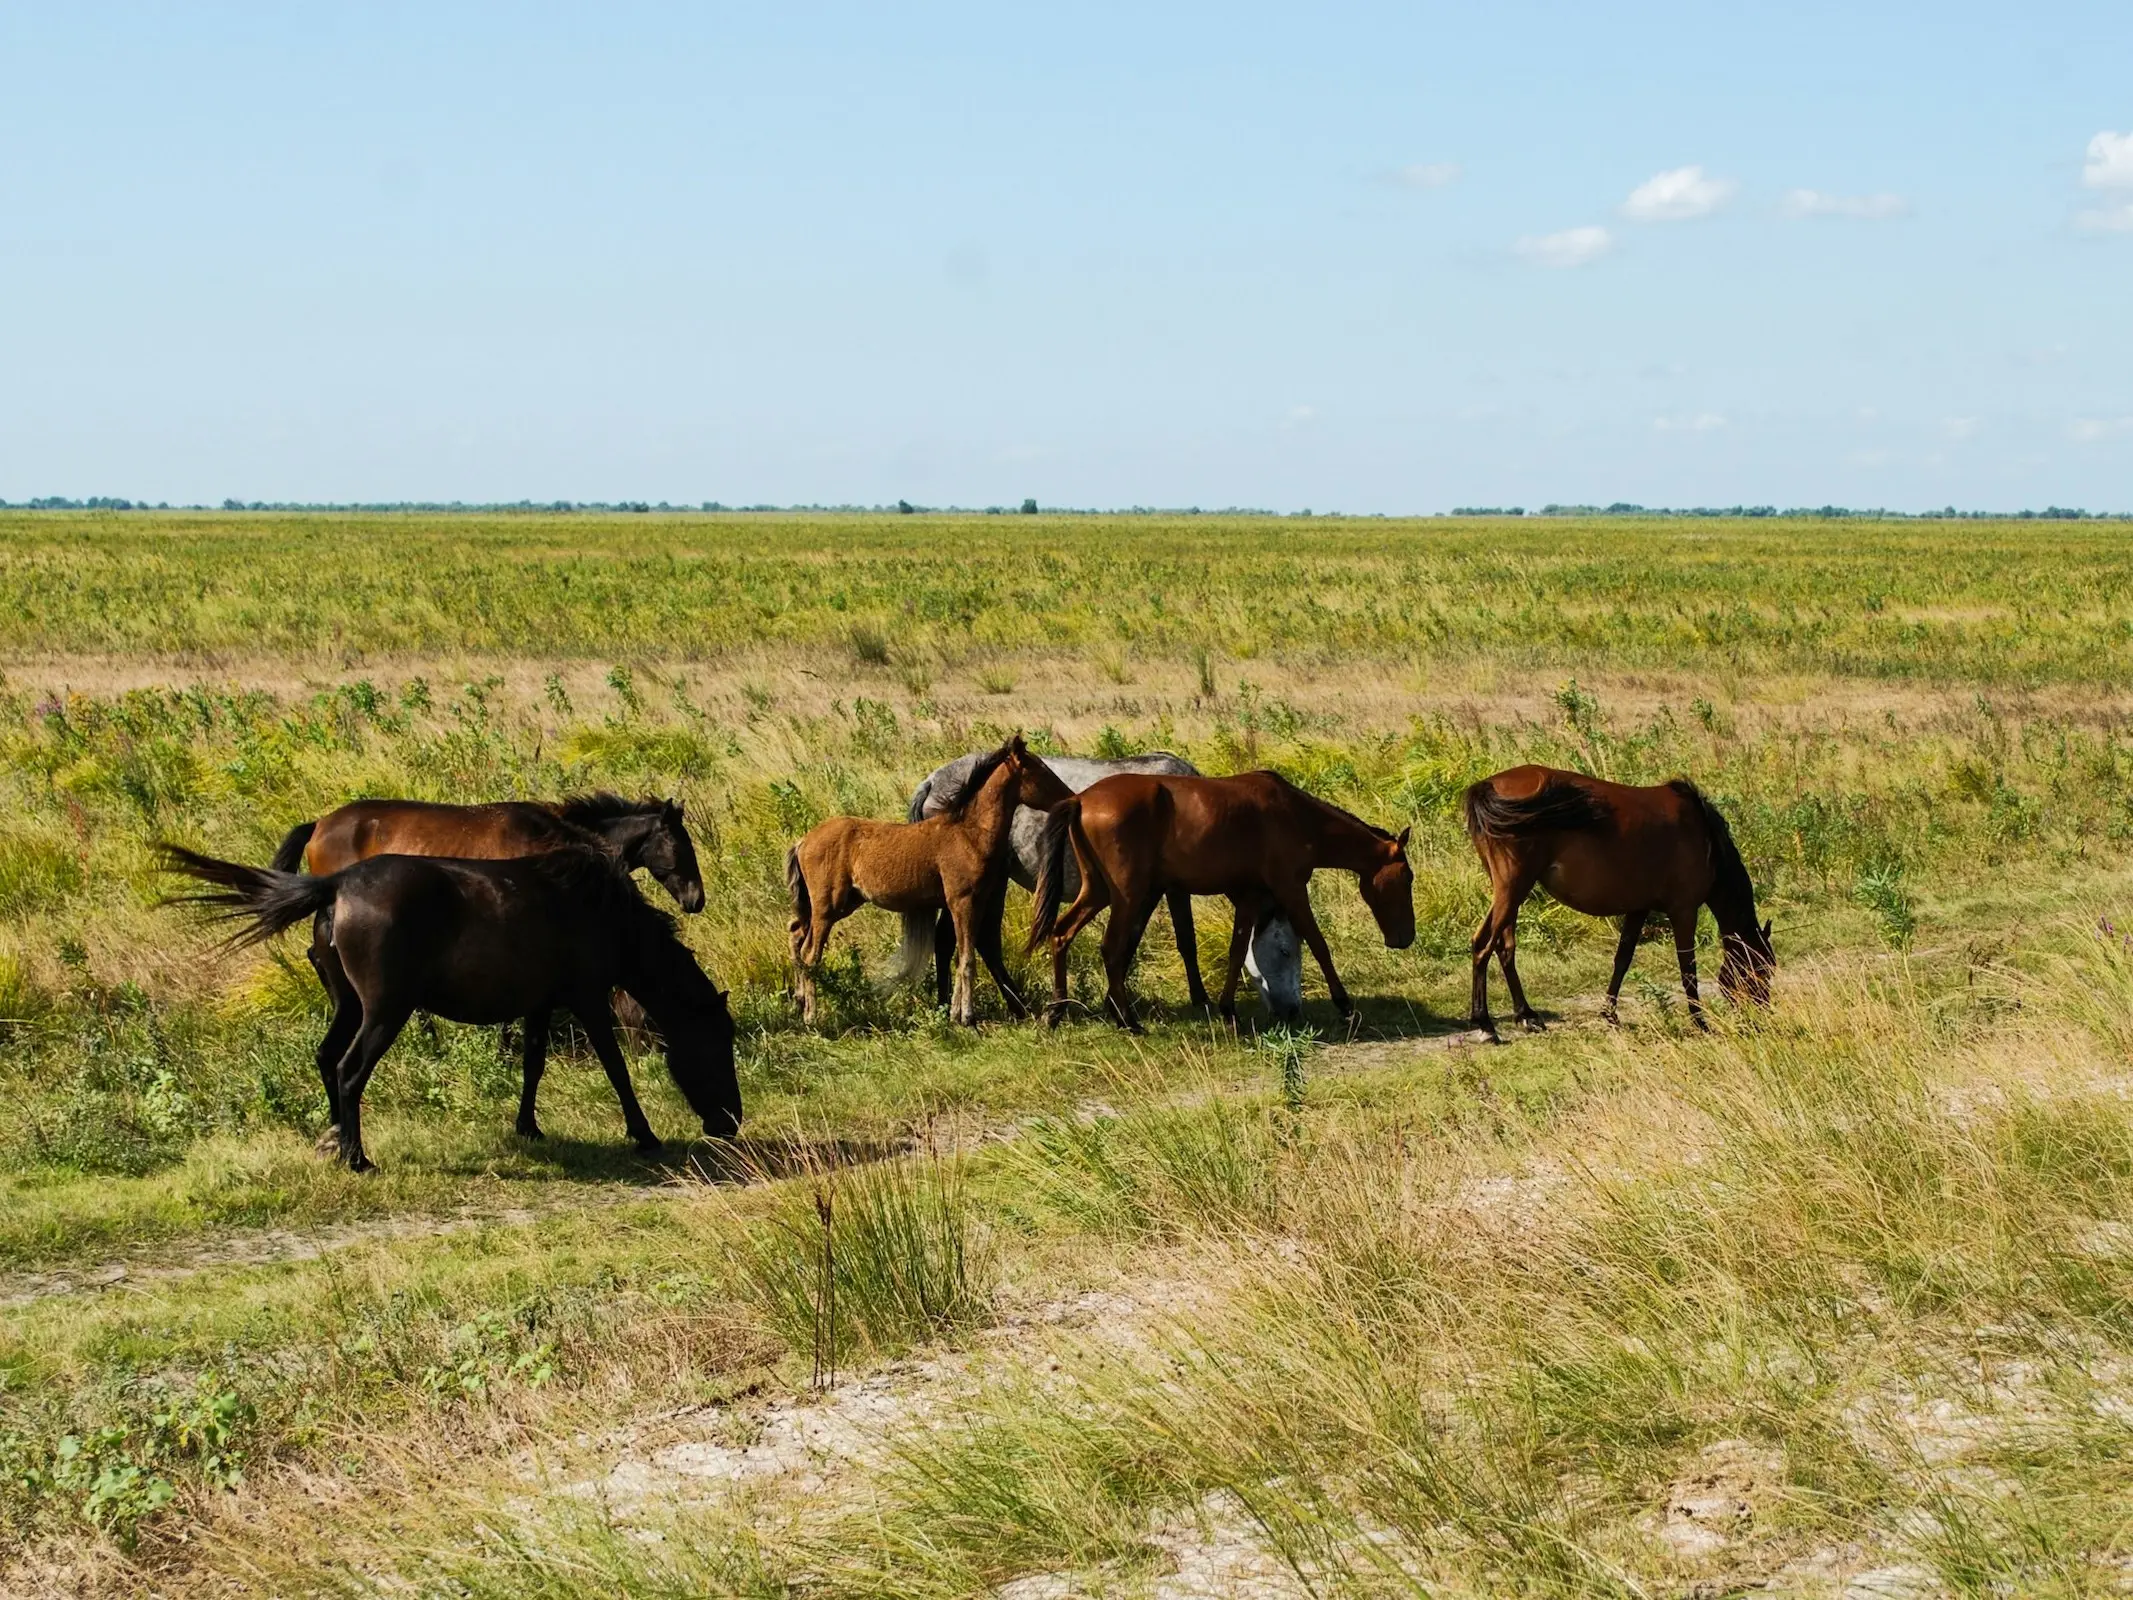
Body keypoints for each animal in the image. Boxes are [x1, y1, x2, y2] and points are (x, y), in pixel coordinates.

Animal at [159, 840, 742, 1177]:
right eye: (718, 1044)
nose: (730, 1122)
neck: (601, 911)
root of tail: (337, 885)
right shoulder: (588, 1000)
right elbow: (617, 1070)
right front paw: (644, 1135)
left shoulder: (540, 1005)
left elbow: (533, 1065)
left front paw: (528, 1126)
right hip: (383, 1012)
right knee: (349, 1071)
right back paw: (357, 1157)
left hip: (349, 1006)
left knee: (326, 1061)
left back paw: (334, 1139)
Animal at [789, 738, 1075, 1028]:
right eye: (1039, 770)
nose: (1070, 797)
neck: (969, 833)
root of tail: (803, 841)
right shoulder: (962, 901)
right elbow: (967, 959)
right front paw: (967, 1017)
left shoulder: (974, 902)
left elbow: (961, 954)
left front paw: (954, 1014)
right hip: (828, 906)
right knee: (811, 955)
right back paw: (811, 1016)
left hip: (840, 903)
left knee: (798, 936)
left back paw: (800, 1002)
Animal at [900, 755, 1296, 1028]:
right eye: (1286, 950)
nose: (1290, 1010)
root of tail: (933, 780)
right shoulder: (1169, 889)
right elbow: (1183, 940)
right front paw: (1199, 1000)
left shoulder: (1146, 891)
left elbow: (1130, 941)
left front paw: (1114, 1000)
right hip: (987, 882)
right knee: (964, 939)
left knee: (965, 940)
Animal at [1023, 776, 1407, 1041]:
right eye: (1407, 878)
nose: (1404, 938)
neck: (1296, 816)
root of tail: (1080, 798)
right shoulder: (1292, 889)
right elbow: (1319, 944)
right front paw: (1345, 1006)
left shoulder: (1251, 899)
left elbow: (1237, 952)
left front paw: (1228, 1010)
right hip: (1127, 897)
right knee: (1112, 949)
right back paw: (1128, 1021)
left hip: (1098, 892)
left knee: (1061, 934)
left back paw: (1057, 1013)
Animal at [1458, 768, 1774, 1041]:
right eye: (1762, 970)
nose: (1760, 1019)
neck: (1702, 833)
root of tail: (1486, 786)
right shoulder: (1684, 911)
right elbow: (1688, 970)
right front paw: (1700, 1021)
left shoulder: (1638, 909)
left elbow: (1623, 959)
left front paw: (1609, 1014)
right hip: (1513, 888)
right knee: (1485, 945)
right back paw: (1486, 1025)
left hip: (1509, 892)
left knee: (1503, 947)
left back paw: (1526, 1015)